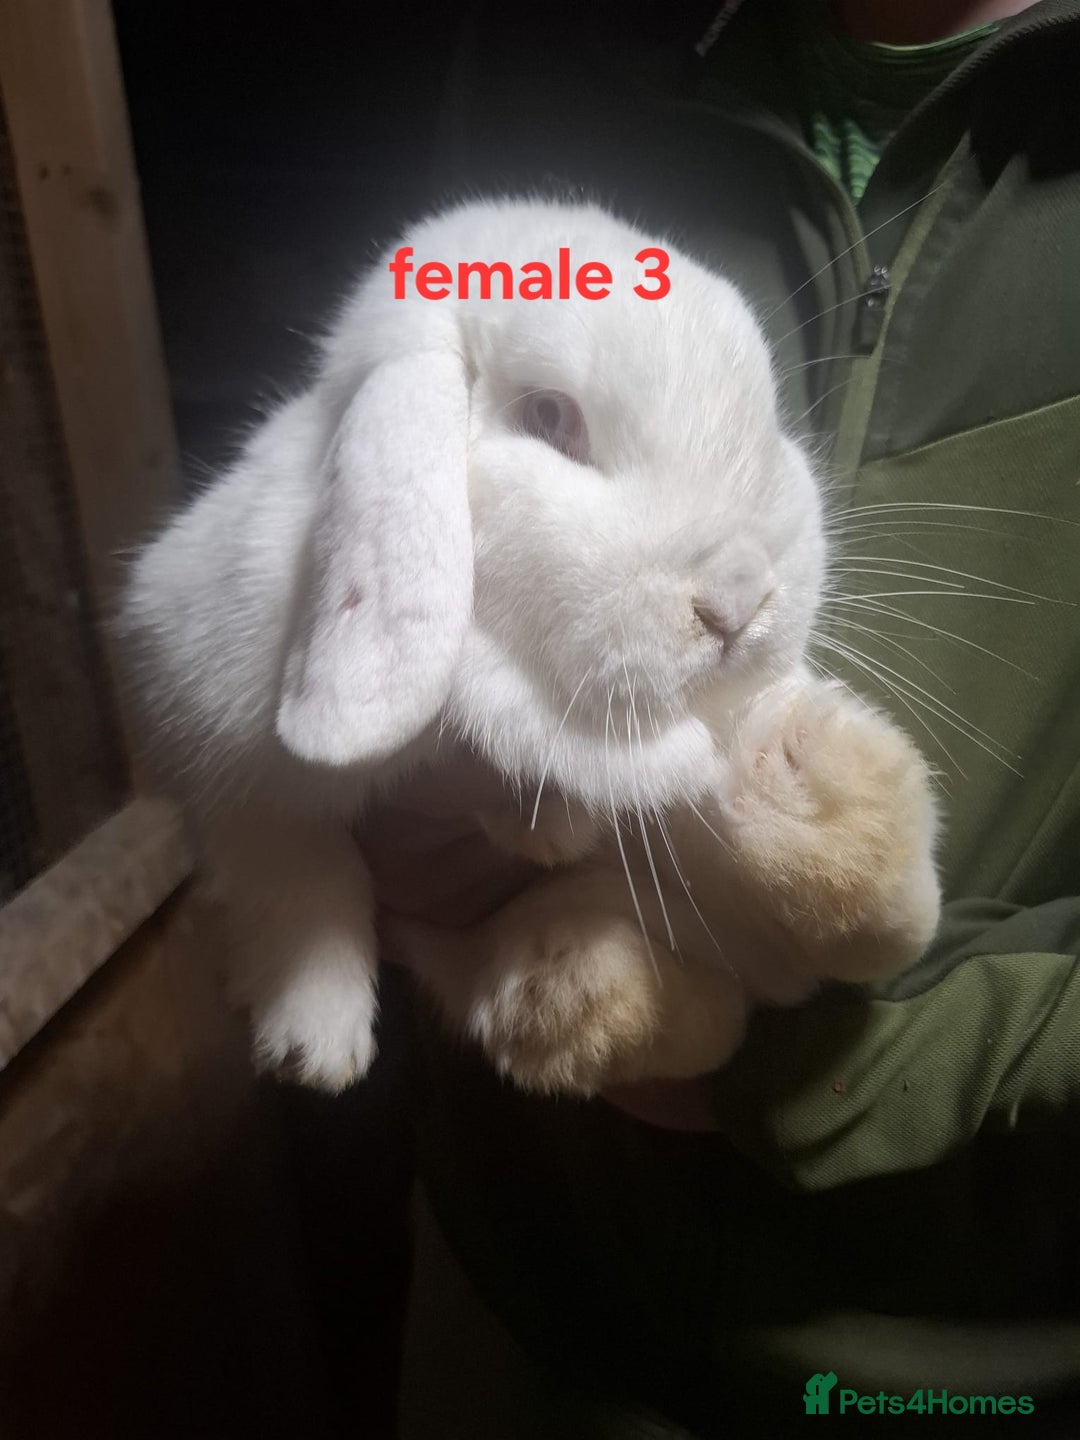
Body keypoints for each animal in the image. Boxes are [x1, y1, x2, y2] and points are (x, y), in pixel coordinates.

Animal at [118, 196, 941, 1096]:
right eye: (551, 418)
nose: (736, 603)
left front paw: (549, 820)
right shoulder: (206, 734)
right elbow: (299, 872)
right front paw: (317, 1043)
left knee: (840, 935)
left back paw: (815, 781)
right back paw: (573, 986)